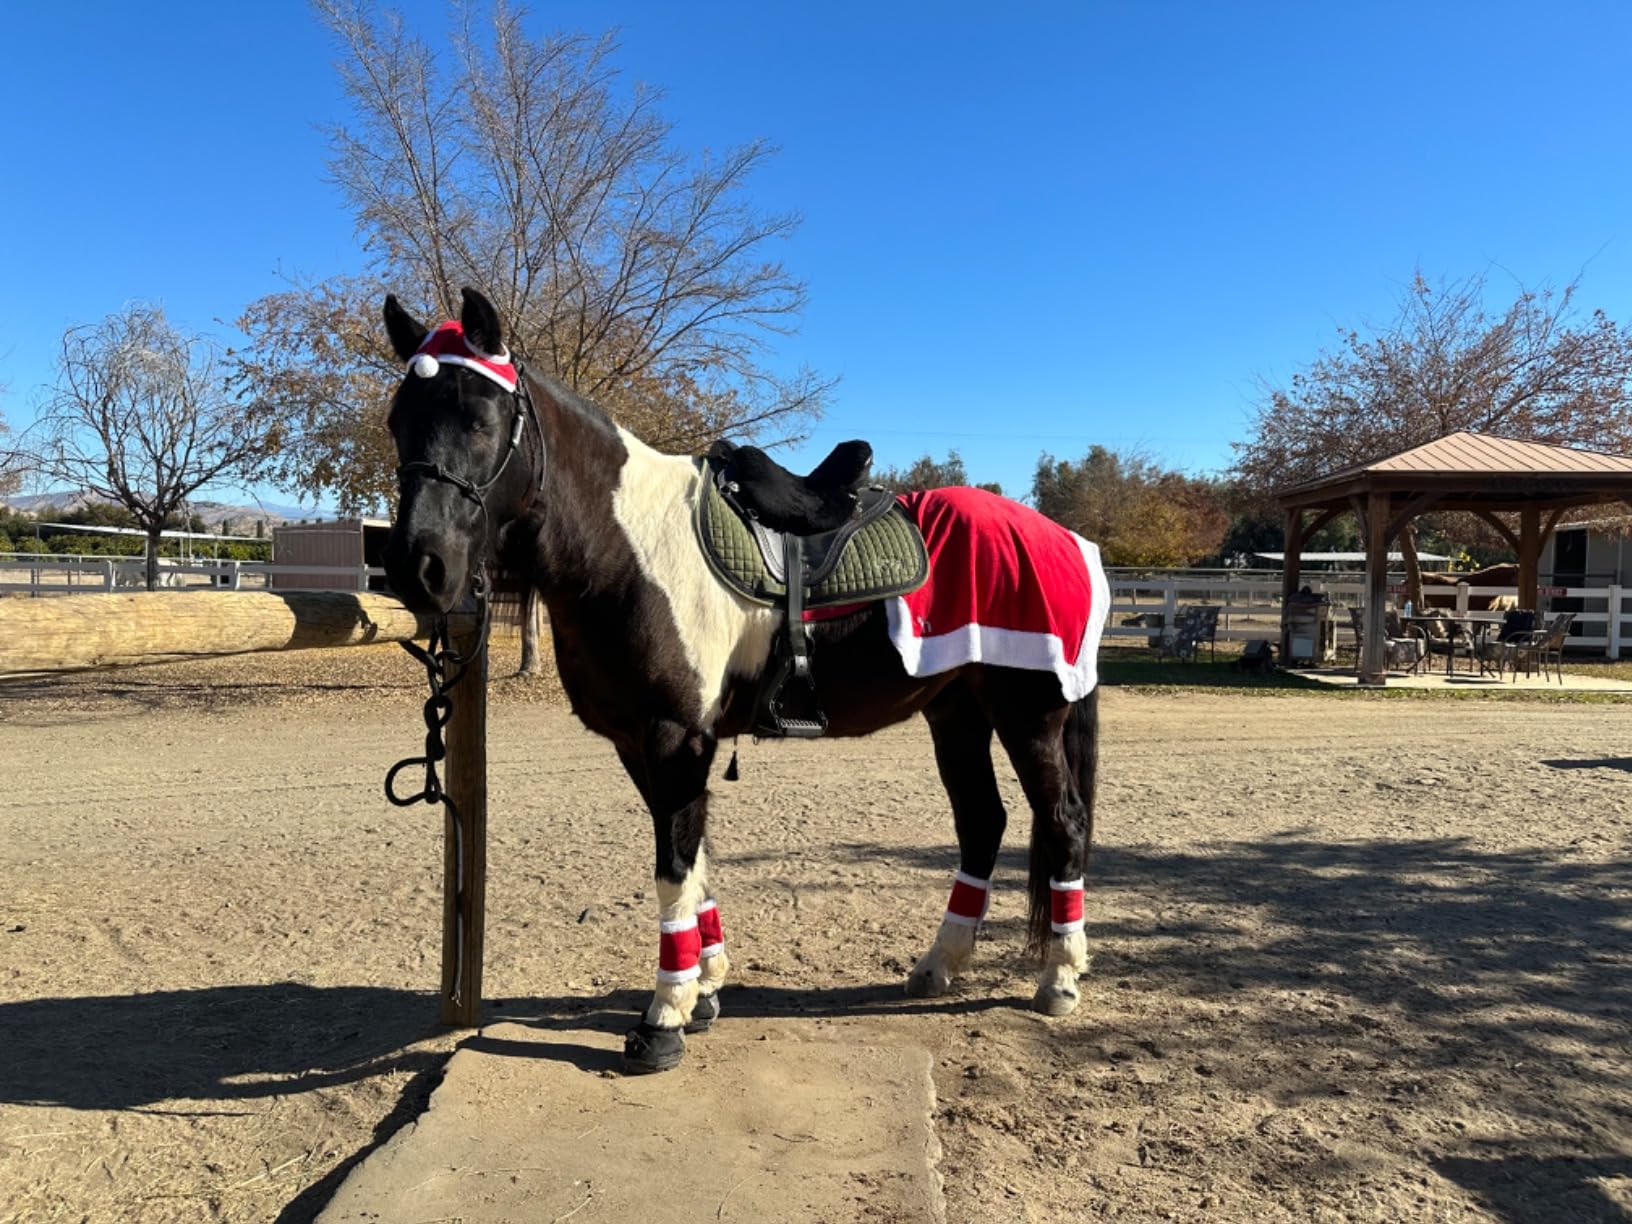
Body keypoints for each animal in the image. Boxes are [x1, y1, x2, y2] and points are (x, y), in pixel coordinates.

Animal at [380, 287, 1106, 1074]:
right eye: (397, 421)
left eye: (480, 420)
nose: (420, 568)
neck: (627, 549)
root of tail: (1065, 538)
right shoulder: (641, 743)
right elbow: (693, 857)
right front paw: (705, 990)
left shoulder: (674, 737)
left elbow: (673, 865)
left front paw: (665, 1017)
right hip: (957, 714)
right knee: (982, 823)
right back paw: (939, 964)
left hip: (1028, 715)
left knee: (1062, 822)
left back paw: (1060, 979)